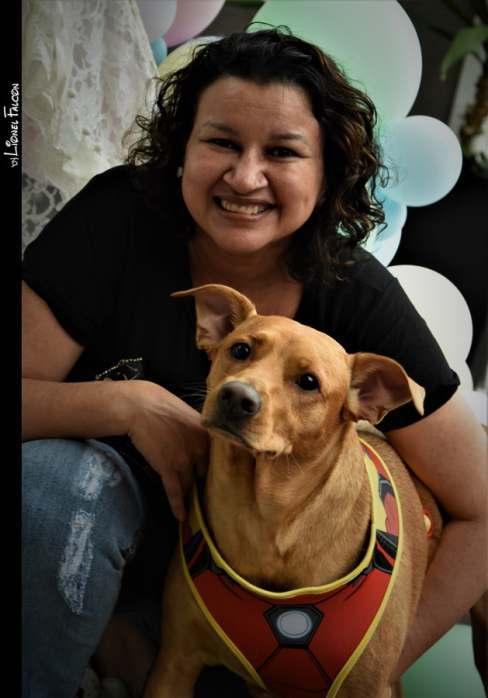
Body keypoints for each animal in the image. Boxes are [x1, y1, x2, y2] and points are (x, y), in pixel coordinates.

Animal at [141, 283, 442, 698]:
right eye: (240, 350)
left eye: (309, 382)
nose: (237, 397)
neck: (265, 519)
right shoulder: (175, 662)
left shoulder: (369, 686)